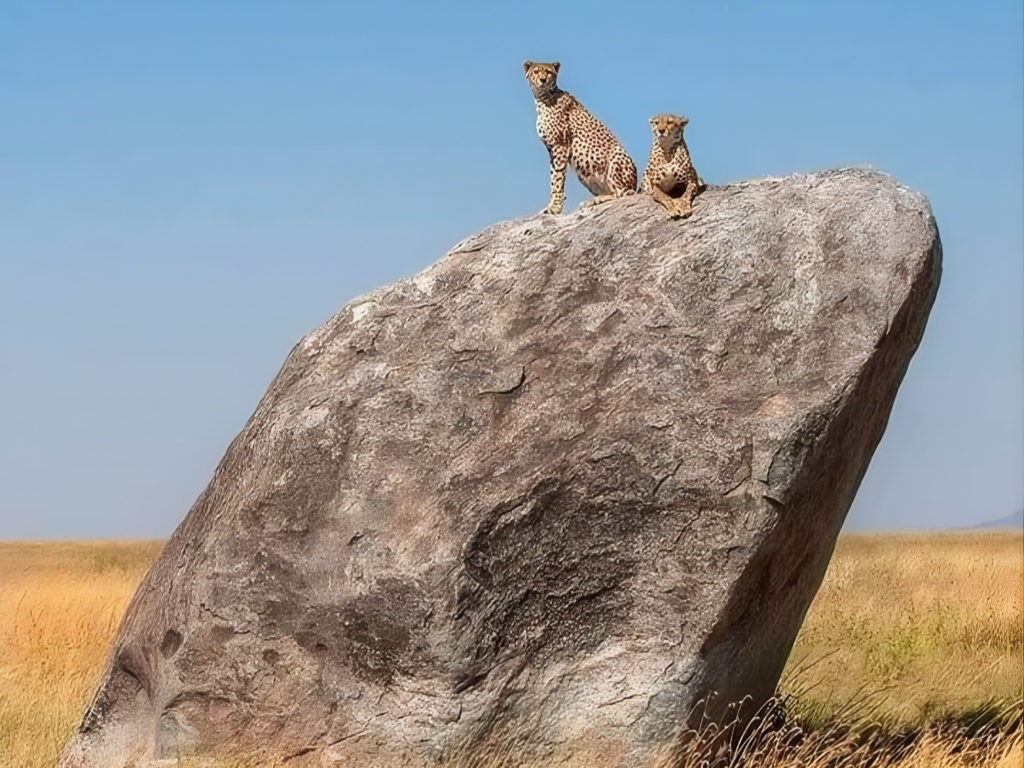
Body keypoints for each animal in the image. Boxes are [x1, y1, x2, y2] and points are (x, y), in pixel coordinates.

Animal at [523, 61, 638, 215]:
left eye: (548, 72)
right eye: (535, 71)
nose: (543, 80)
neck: (543, 98)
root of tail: (635, 184)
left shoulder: (560, 147)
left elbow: (557, 179)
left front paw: (555, 208)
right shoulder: (552, 149)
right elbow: (554, 177)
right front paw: (552, 206)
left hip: (616, 154)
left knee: (622, 193)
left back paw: (597, 200)